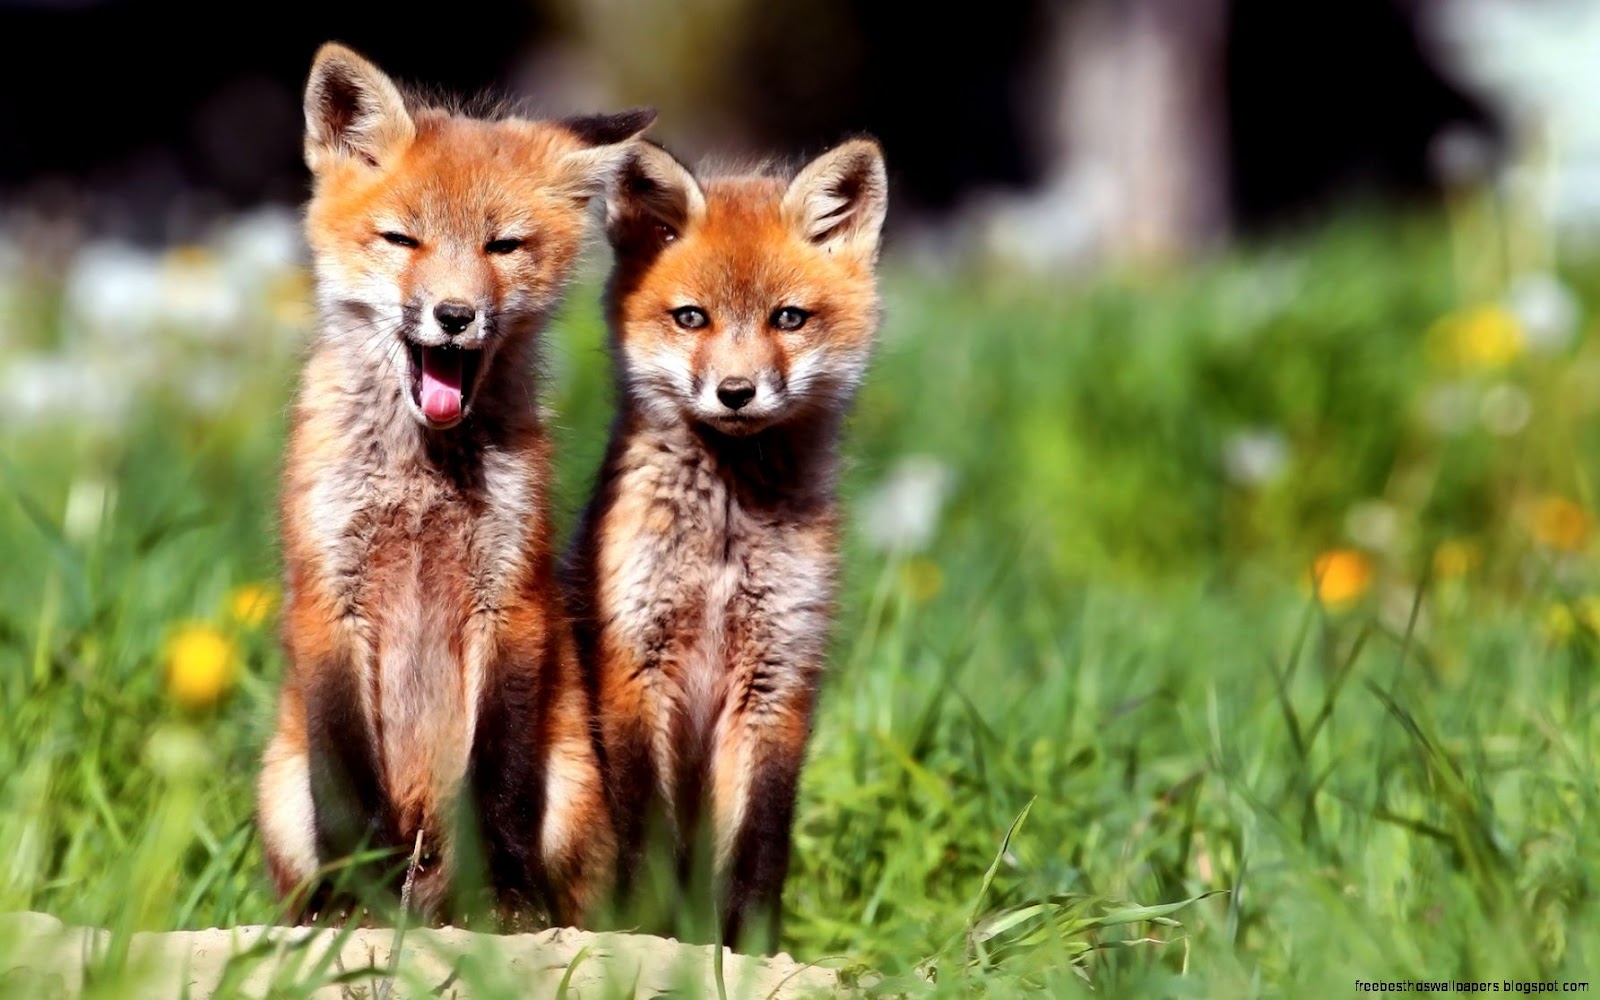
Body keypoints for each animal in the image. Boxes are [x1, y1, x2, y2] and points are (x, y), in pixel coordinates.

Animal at [255, 42, 651, 926]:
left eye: (503, 246)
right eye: (403, 238)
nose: (454, 315)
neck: (420, 479)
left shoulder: (509, 597)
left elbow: (496, 782)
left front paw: (499, 897)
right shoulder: (328, 597)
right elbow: (348, 786)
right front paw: (354, 897)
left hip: (570, 789)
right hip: (281, 790)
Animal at [562, 137, 888, 948]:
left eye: (788, 318)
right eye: (691, 317)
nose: (736, 393)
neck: (724, 540)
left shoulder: (777, 678)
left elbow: (758, 849)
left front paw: (747, 951)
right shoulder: (635, 665)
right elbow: (650, 839)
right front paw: (651, 935)